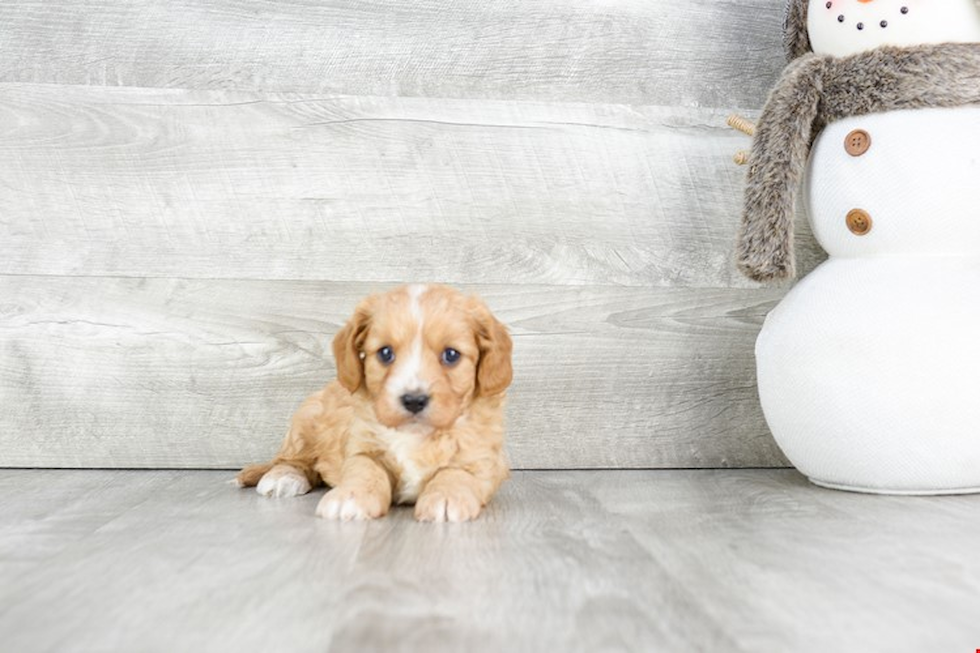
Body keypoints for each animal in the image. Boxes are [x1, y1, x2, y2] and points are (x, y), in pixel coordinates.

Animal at [236, 282, 512, 524]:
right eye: (385, 353)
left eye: (451, 355)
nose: (413, 400)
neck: (416, 436)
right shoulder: (362, 448)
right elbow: (365, 470)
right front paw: (349, 497)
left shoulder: (483, 459)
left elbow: (457, 472)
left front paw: (446, 497)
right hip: (305, 419)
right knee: (292, 460)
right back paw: (283, 478)